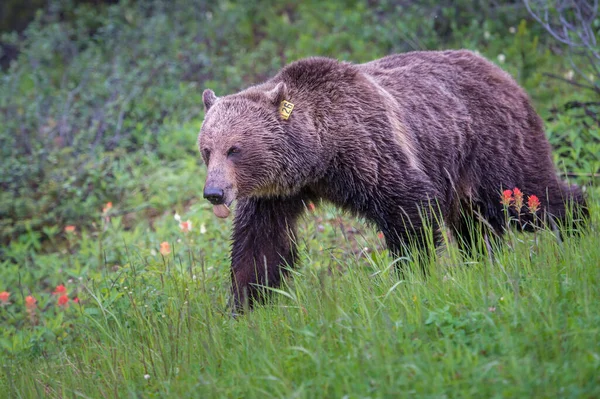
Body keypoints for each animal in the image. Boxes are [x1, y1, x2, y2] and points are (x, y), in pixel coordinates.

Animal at [197, 50, 584, 310]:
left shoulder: (370, 149)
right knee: (476, 225)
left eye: (234, 149)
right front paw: (244, 305)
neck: (320, 158)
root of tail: (501, 72)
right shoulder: (275, 195)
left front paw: (413, 277)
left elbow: (409, 210)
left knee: (528, 197)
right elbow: (260, 245)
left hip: (493, 145)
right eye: (206, 150)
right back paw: (482, 261)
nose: (214, 192)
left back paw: (578, 226)